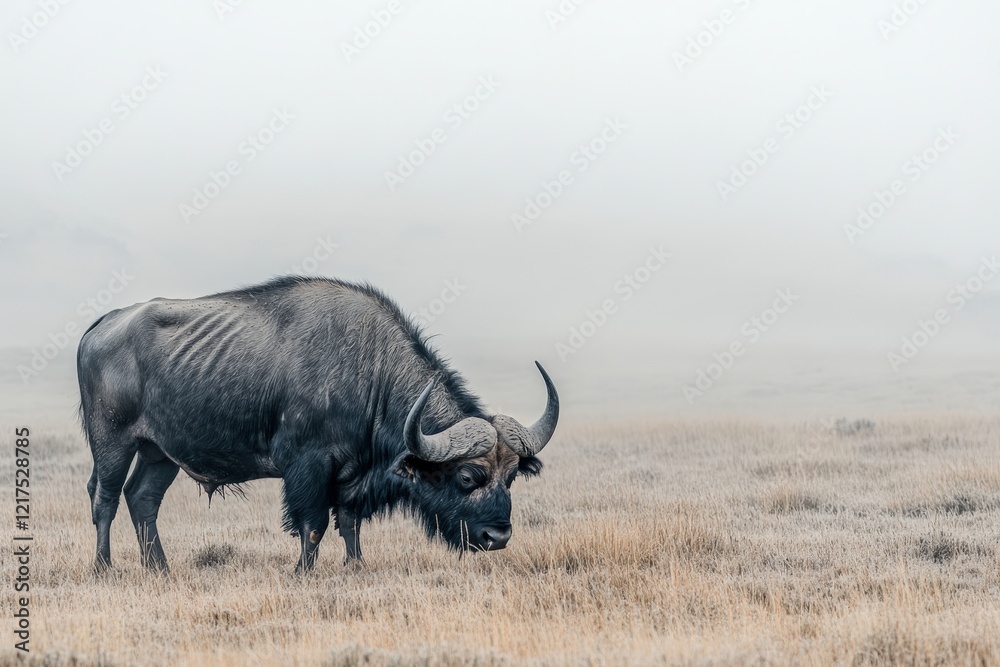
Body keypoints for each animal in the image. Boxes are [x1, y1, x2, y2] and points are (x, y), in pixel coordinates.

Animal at [77, 276, 559, 571]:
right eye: (467, 476)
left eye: (512, 477)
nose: (498, 536)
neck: (369, 371)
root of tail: (102, 325)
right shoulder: (308, 467)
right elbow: (313, 525)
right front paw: (302, 572)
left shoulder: (352, 472)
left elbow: (349, 521)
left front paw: (355, 565)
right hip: (112, 443)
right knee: (105, 498)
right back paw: (105, 567)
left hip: (160, 453)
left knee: (142, 499)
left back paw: (159, 567)